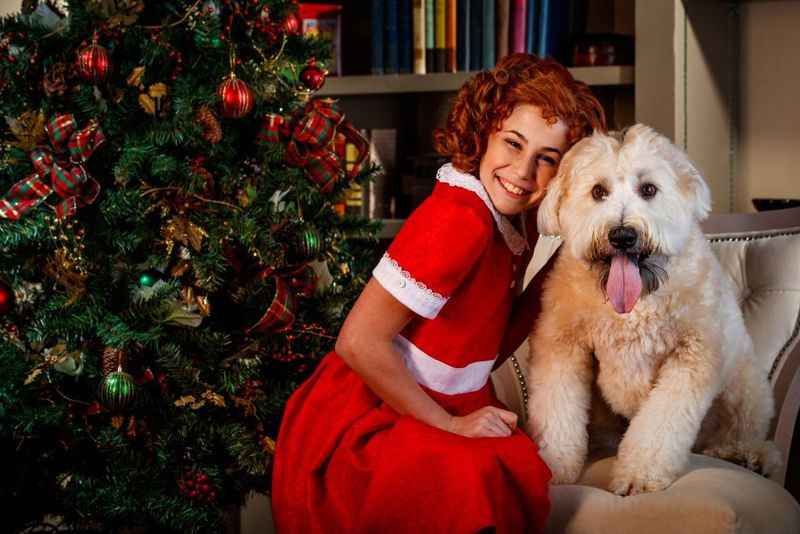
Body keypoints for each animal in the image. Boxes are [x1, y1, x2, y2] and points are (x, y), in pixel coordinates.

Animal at [524, 123, 780, 496]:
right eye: (598, 191)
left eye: (649, 189)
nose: (622, 236)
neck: (635, 305)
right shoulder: (562, 349)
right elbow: (558, 415)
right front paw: (554, 468)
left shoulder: (692, 358)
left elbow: (660, 425)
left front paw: (638, 476)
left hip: (744, 389)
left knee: (740, 434)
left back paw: (751, 456)